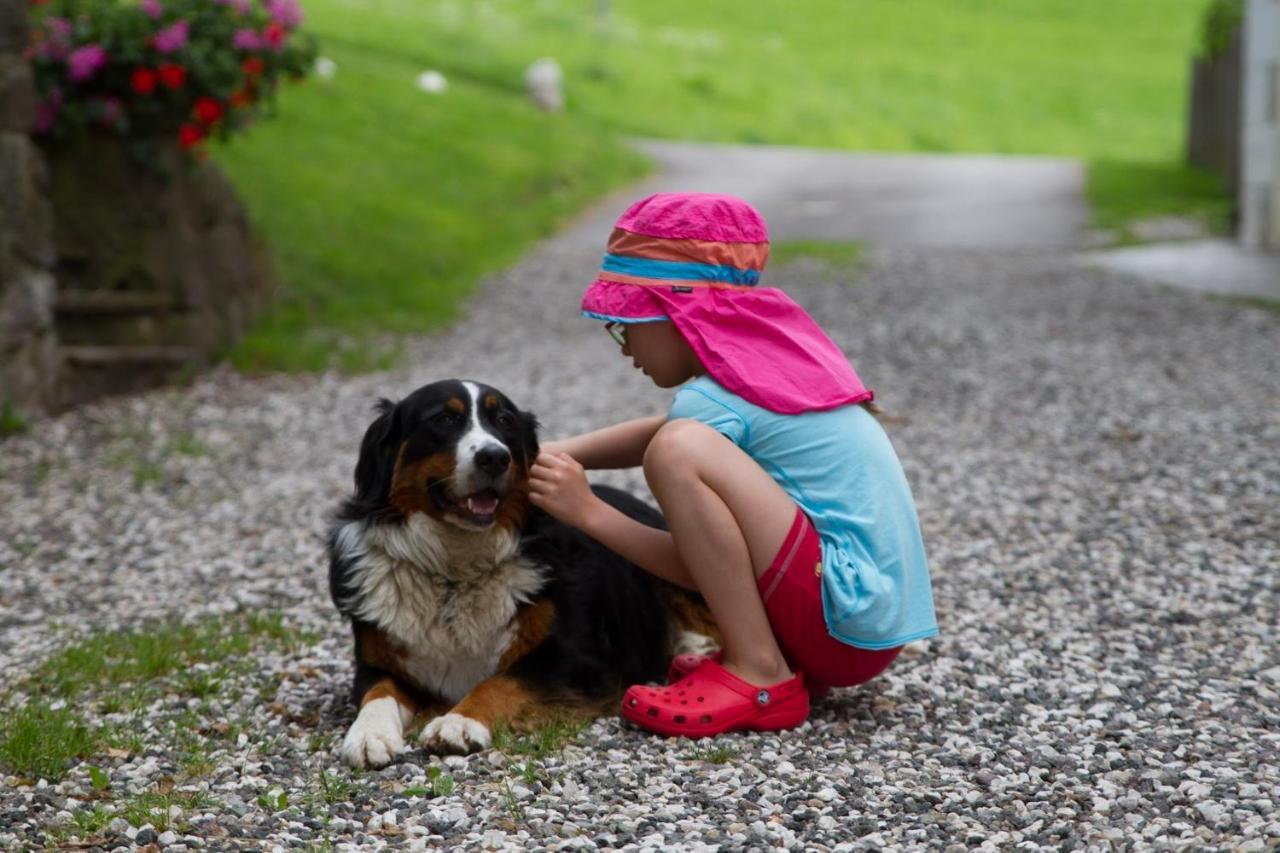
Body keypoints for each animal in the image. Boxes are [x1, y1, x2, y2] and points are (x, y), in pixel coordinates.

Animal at [327, 379, 721, 763]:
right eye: (444, 420)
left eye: (505, 422)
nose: (494, 457)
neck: (454, 571)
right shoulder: (377, 663)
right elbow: (377, 694)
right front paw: (368, 736)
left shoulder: (576, 661)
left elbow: (501, 681)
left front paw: (458, 721)